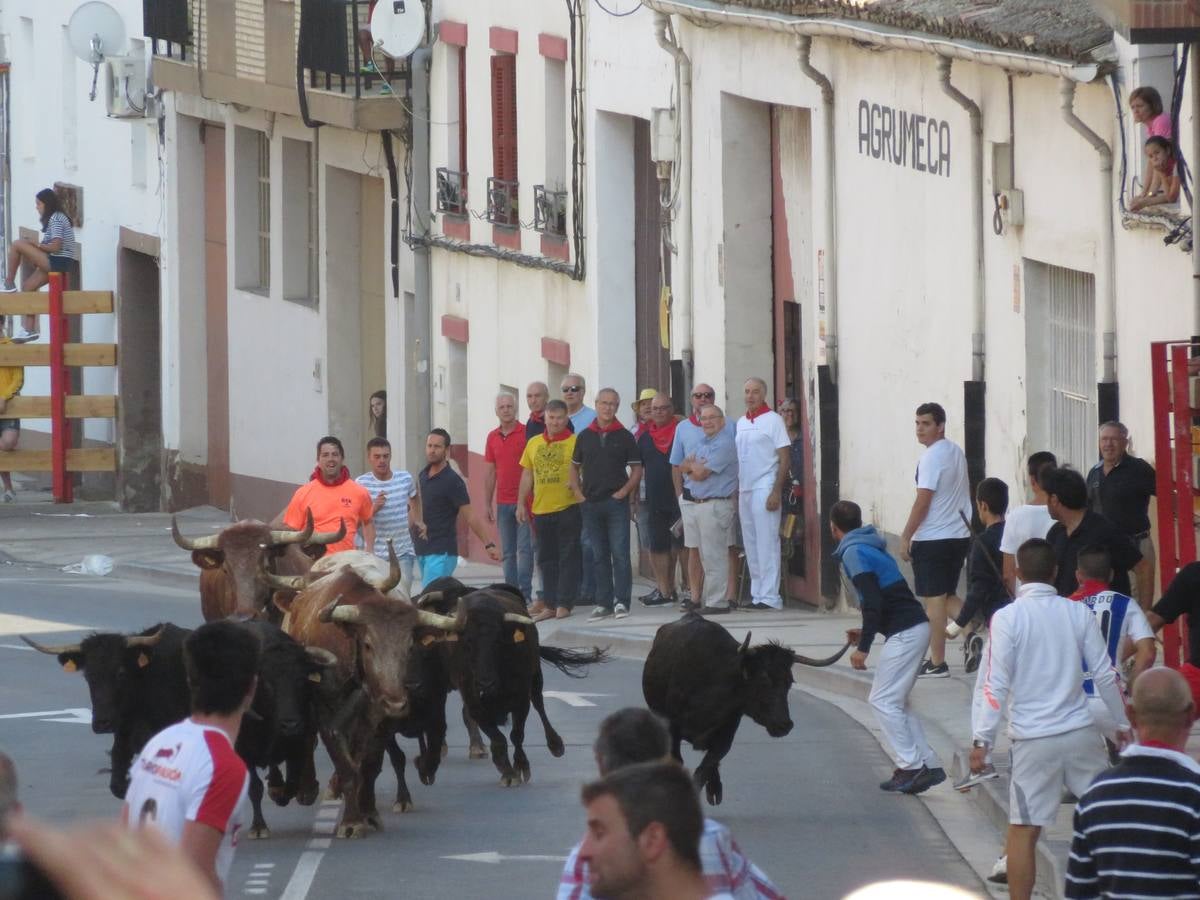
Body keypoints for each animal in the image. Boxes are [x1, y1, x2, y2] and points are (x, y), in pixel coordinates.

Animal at [274, 571, 458, 840]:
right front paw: (351, 822)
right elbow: (347, 767)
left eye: (409, 646)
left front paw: (368, 813)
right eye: (369, 644)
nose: (396, 702)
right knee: (307, 738)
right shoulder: (327, 718)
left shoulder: (382, 722)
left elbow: (369, 766)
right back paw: (306, 789)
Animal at [420, 588, 609, 787]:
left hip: (536, 677)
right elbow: (497, 738)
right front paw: (507, 771)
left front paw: (521, 766)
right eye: (468, 642)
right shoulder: (473, 701)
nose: (485, 683)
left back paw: (556, 745)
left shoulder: (521, 697)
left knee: (539, 705)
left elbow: (516, 734)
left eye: (497, 640)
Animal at [648, 619, 854, 806]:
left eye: (789, 681)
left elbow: (703, 771)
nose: (785, 725)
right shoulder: (672, 733)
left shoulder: (725, 737)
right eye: (763, 679)